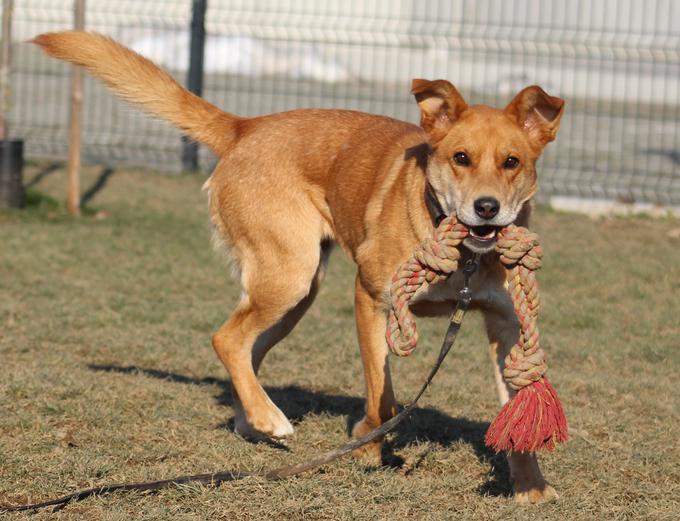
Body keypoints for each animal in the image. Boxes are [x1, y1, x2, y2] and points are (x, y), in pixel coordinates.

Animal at [31, 30, 564, 502]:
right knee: (226, 339)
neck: (464, 257)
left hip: (295, 294)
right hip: (289, 276)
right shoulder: (371, 297)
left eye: (512, 161)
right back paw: (270, 420)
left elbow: (516, 406)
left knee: (246, 351)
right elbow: (383, 394)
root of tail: (245, 127)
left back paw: (255, 421)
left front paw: (530, 485)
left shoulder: (505, 324)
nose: (487, 208)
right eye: (461, 157)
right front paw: (367, 443)